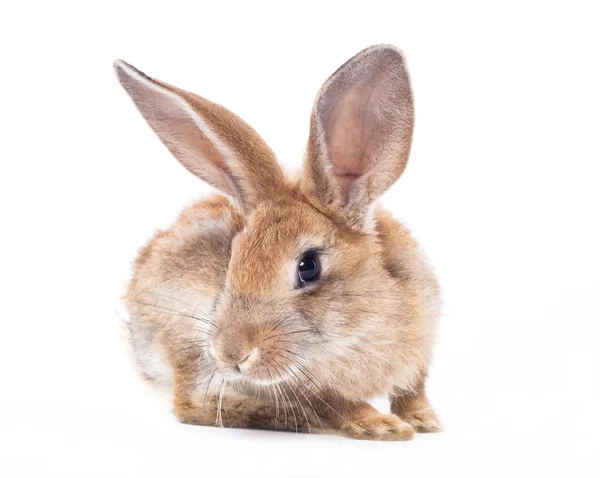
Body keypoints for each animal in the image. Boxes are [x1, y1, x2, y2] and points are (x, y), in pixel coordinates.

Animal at [115, 44, 440, 440]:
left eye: (309, 266)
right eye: (232, 262)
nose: (231, 354)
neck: (359, 326)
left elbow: (413, 390)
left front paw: (424, 421)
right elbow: (333, 401)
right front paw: (382, 426)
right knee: (193, 404)